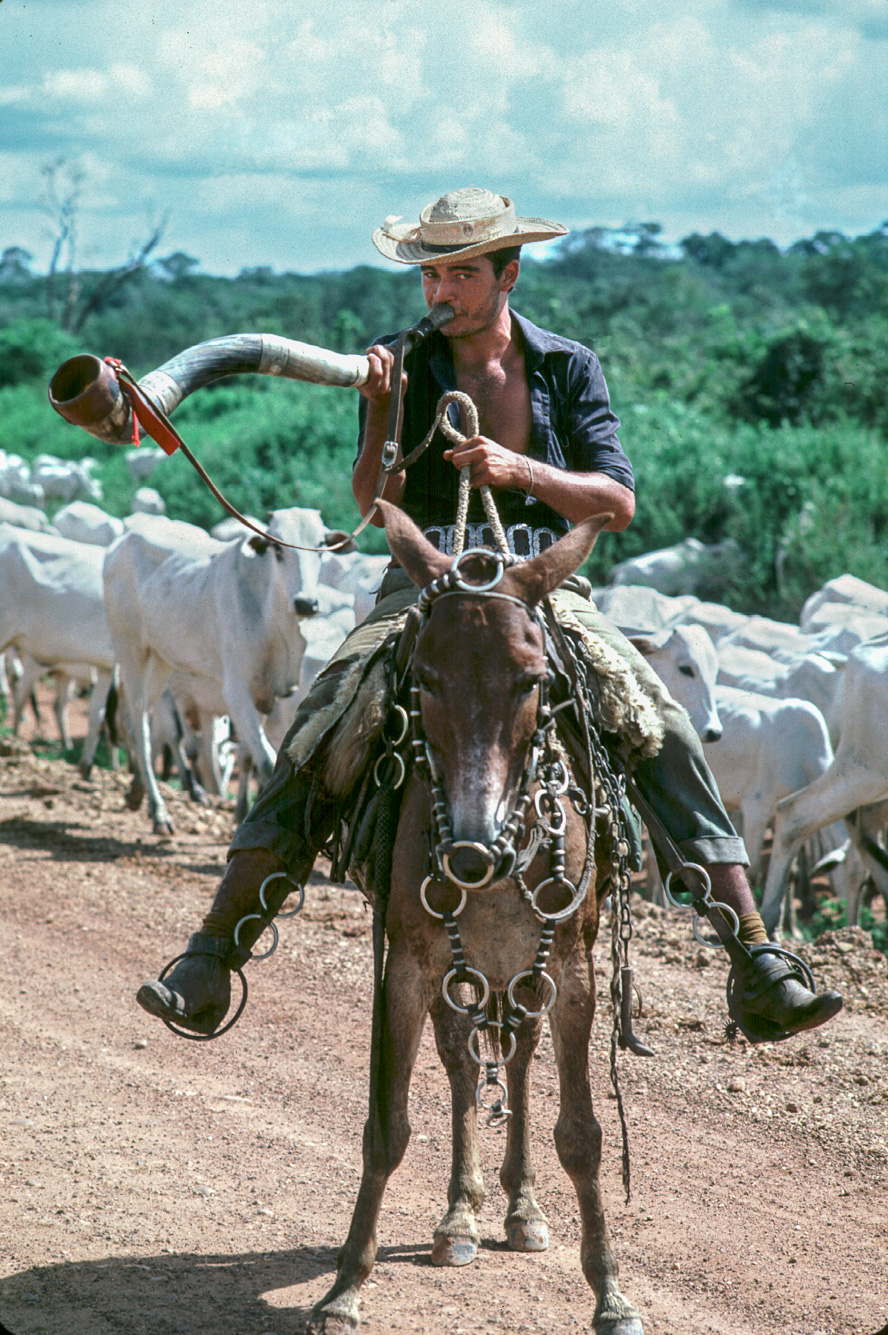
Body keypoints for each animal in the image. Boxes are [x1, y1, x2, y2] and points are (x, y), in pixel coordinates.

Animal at [101, 504, 328, 827]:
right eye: (277, 549)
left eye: (321, 546)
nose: (306, 603)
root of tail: (120, 543)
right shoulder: (237, 691)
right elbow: (266, 760)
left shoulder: (264, 695)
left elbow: (247, 756)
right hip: (131, 652)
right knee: (142, 729)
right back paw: (158, 811)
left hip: (161, 661)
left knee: (149, 724)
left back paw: (137, 794)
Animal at [311, 501, 643, 1335]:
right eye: (426, 676)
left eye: (531, 679)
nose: (469, 846)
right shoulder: (405, 968)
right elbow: (386, 1125)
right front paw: (345, 1286)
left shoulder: (572, 971)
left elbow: (582, 1134)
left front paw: (610, 1291)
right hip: (462, 978)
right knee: (466, 1065)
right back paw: (460, 1216)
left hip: (523, 976)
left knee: (517, 1065)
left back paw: (521, 1209)